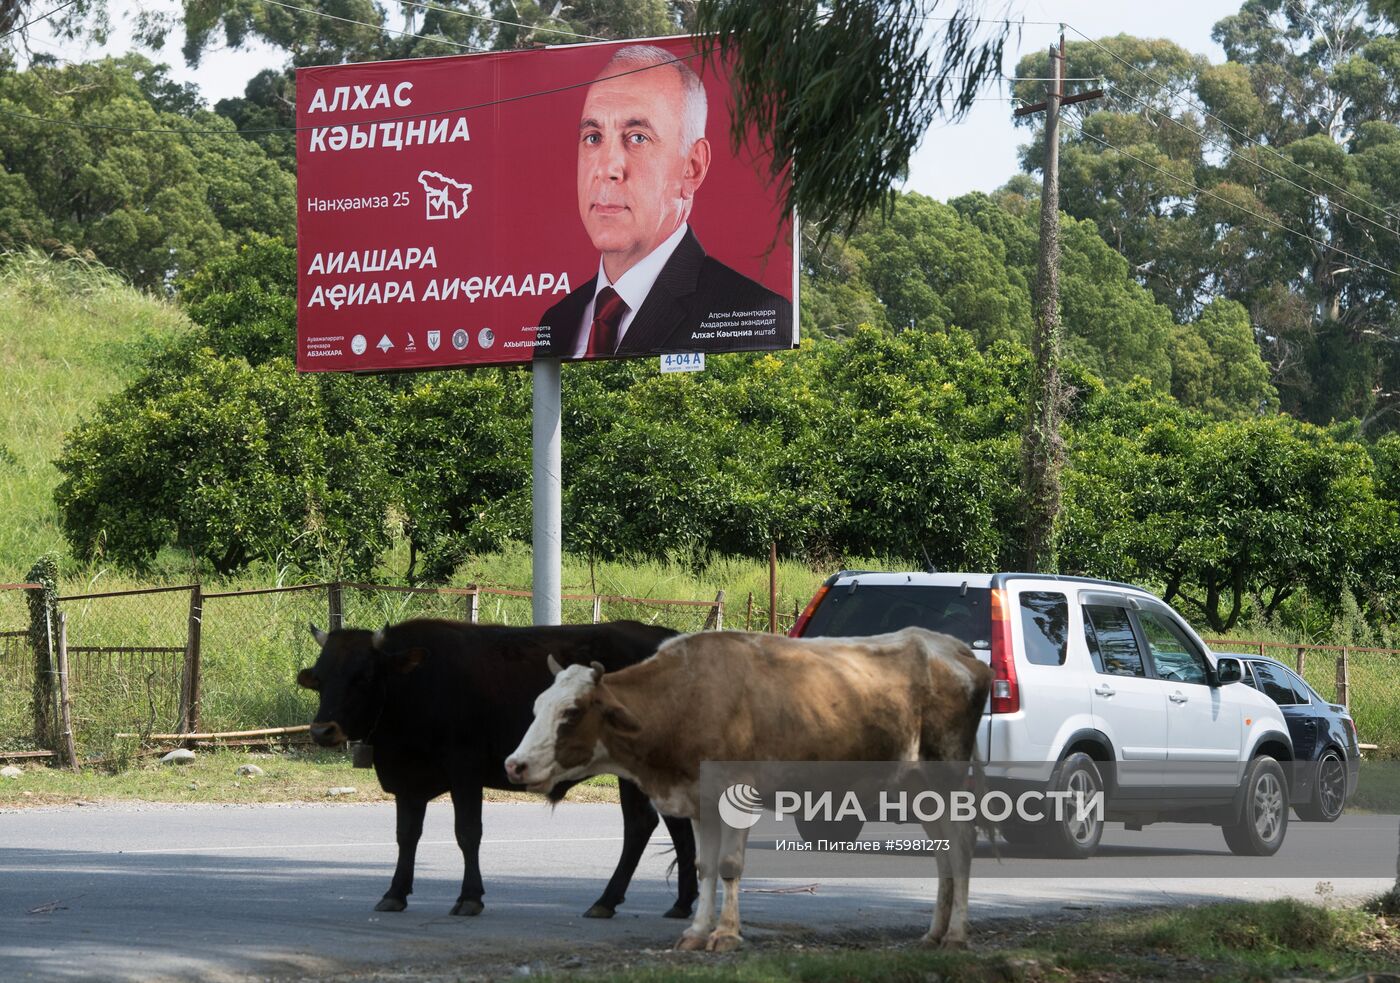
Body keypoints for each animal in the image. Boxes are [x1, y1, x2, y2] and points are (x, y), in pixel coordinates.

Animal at [292, 624, 697, 924]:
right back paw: (679, 903)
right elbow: (406, 835)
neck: (415, 686)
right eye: (320, 678)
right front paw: (394, 893)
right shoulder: (408, 780)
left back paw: (609, 900)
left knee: (640, 824)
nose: (322, 731)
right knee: (673, 825)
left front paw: (469, 897)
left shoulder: (464, 769)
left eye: (363, 676)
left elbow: (467, 833)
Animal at [501, 632, 985, 952]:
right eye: (537, 707)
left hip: (946, 776)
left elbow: (730, 866)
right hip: (918, 788)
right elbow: (704, 867)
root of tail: (952, 647)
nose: (514, 764)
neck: (688, 697)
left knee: (961, 846)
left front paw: (727, 933)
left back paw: (957, 933)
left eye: (571, 712)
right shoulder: (700, 799)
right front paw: (696, 931)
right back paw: (933, 932)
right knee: (943, 853)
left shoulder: (738, 792)